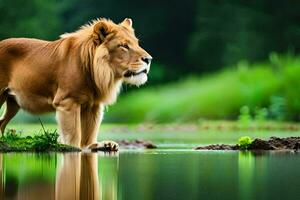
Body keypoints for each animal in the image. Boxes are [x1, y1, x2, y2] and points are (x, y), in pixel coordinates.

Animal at [0, 18, 151, 151]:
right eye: (124, 46)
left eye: (137, 43)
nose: (149, 59)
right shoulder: (67, 102)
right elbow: (73, 135)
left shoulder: (93, 106)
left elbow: (89, 133)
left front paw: (100, 145)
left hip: (13, 103)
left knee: (2, 122)